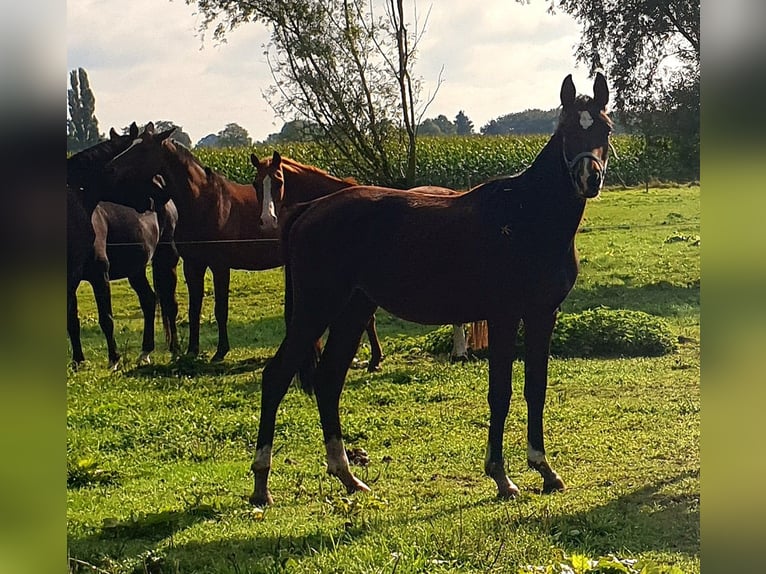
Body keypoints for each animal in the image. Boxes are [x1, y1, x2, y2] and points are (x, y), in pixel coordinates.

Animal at [66, 125, 180, 368]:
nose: (158, 194)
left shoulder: (99, 274)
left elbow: (106, 318)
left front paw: (114, 360)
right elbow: (72, 321)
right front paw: (78, 361)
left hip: (167, 260)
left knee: (169, 304)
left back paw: (175, 350)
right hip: (136, 269)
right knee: (149, 300)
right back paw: (145, 352)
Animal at [249, 74, 616, 506]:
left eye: (605, 129)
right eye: (567, 130)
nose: (589, 178)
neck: (526, 217)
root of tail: (310, 209)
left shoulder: (542, 315)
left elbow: (535, 388)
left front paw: (544, 469)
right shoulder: (505, 316)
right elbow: (501, 392)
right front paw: (501, 476)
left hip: (353, 311)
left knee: (328, 381)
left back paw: (347, 476)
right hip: (315, 309)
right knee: (276, 378)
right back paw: (261, 484)